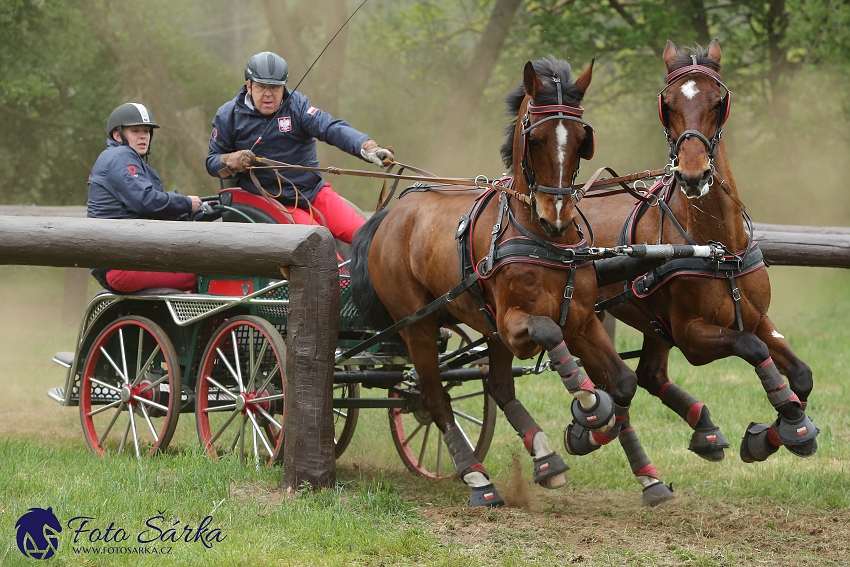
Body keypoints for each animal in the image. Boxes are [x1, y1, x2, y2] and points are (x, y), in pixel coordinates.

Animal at [348, 55, 672, 508]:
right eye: (534, 139)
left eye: (581, 139)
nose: (556, 215)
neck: (542, 238)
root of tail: (392, 214)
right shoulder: (516, 324)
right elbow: (549, 332)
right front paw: (590, 407)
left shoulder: (582, 321)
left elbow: (623, 382)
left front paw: (608, 445)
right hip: (419, 326)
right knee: (435, 397)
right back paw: (477, 478)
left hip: (485, 327)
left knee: (499, 388)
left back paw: (546, 459)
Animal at [580, 40, 812, 466]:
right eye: (667, 103)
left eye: (718, 101)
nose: (693, 174)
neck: (719, 248)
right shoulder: (693, 337)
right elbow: (752, 347)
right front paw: (787, 418)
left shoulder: (757, 317)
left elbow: (801, 373)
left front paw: (779, 433)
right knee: (611, 376)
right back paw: (589, 431)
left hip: (651, 321)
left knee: (648, 375)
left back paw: (703, 429)